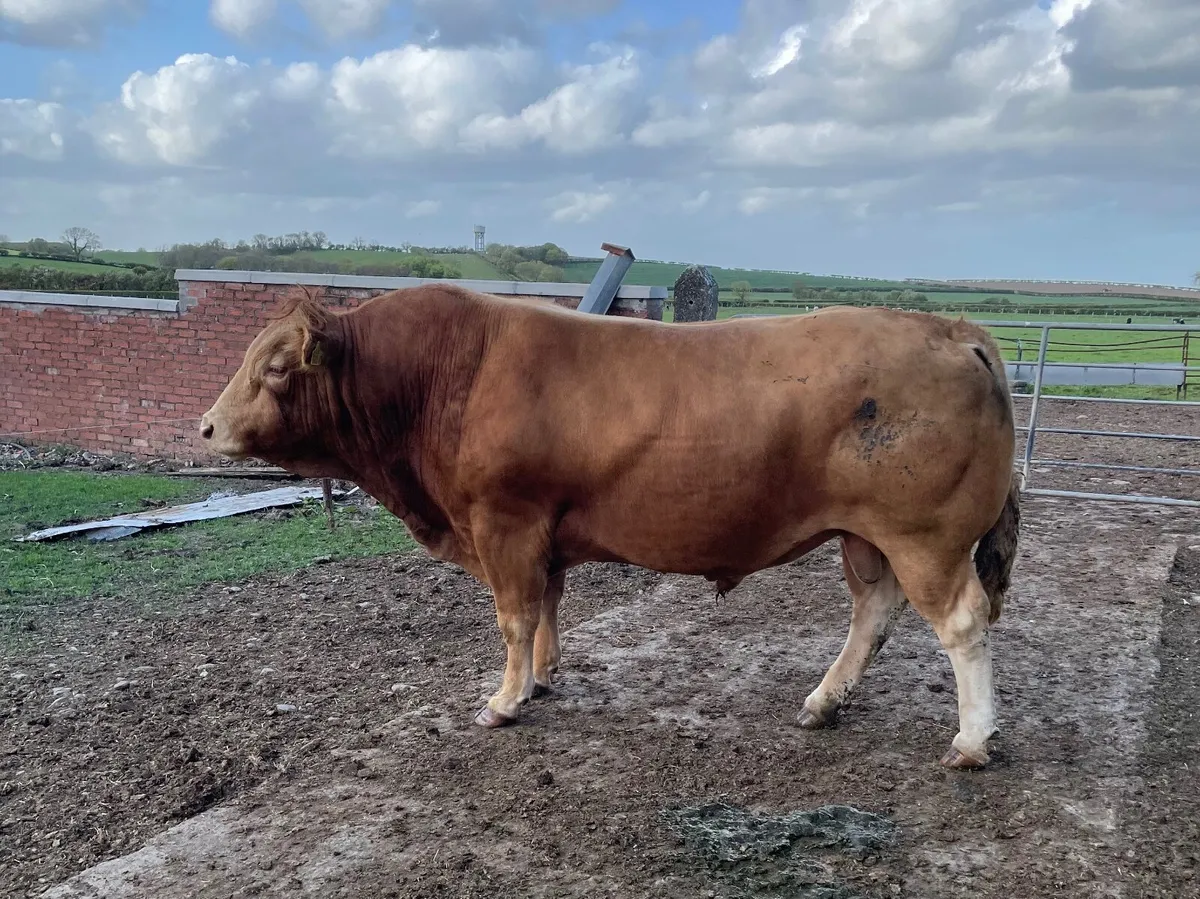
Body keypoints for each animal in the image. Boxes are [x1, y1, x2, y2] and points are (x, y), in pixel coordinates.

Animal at [200, 284, 1020, 769]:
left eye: (276, 367)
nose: (207, 426)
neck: (442, 376)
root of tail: (949, 328)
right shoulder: (540, 534)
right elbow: (546, 608)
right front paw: (543, 678)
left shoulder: (503, 521)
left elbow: (513, 617)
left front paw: (504, 701)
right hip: (867, 537)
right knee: (873, 613)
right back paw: (823, 703)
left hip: (925, 535)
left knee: (963, 622)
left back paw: (972, 739)